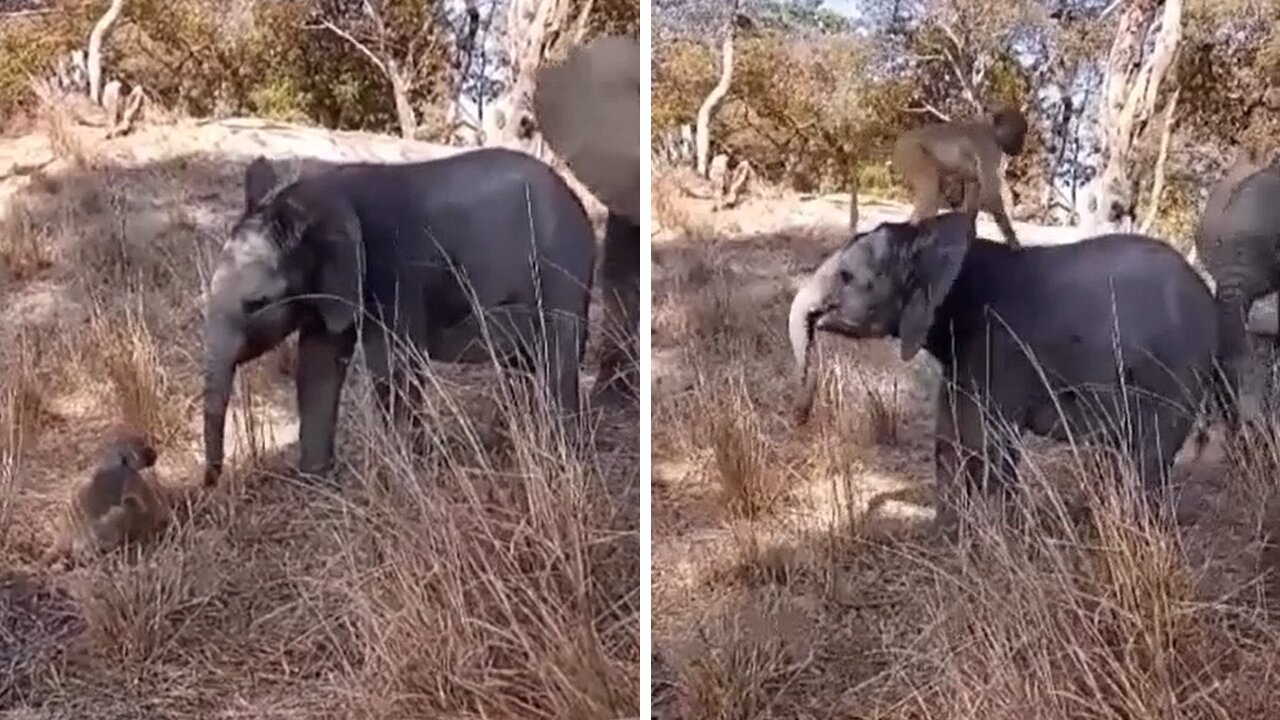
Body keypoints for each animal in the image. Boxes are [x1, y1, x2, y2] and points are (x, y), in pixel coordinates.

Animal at [200, 149, 599, 486]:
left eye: (256, 304)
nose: (211, 483)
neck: (315, 197)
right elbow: (318, 364)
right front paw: (316, 483)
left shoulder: (393, 269)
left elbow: (393, 367)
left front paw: (404, 478)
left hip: (562, 268)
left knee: (556, 358)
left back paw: (562, 458)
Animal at [788, 211, 1218, 520]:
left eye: (847, 277)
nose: (801, 417)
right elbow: (949, 437)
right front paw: (949, 535)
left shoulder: (1000, 347)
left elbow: (986, 442)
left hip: (1179, 371)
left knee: (1148, 455)